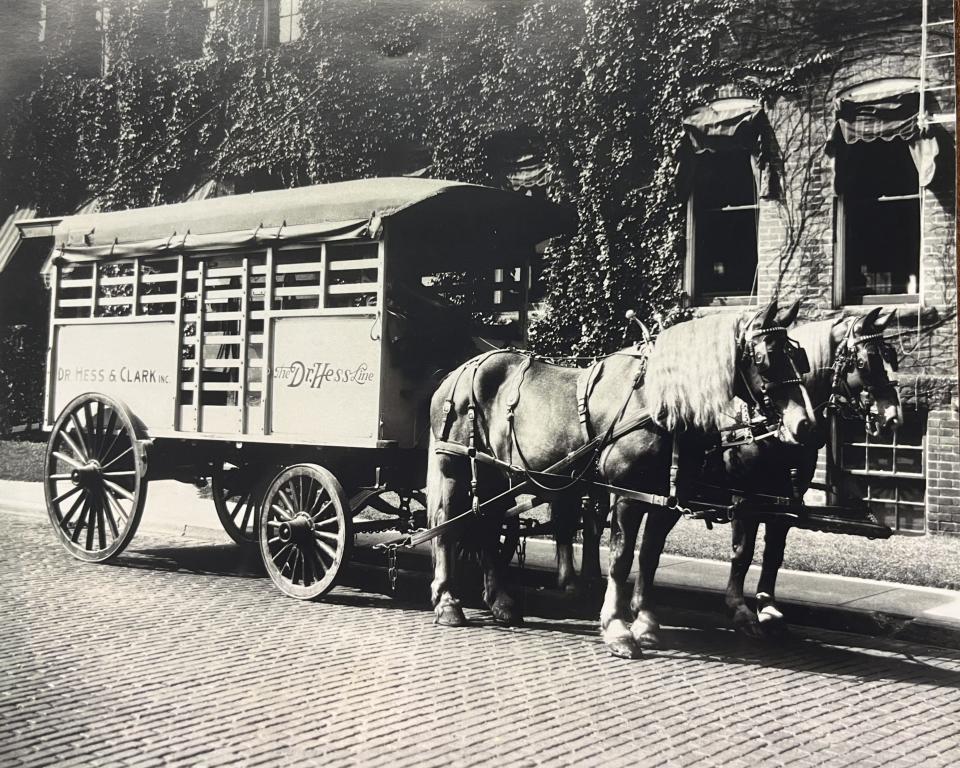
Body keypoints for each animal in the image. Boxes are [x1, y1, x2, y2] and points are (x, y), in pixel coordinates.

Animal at [430, 296, 816, 636]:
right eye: (766, 358)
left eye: (800, 357)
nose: (805, 425)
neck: (656, 401)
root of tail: (459, 370)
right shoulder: (629, 494)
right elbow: (621, 557)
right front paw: (617, 627)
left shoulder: (667, 502)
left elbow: (648, 557)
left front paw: (644, 621)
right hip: (455, 468)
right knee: (446, 526)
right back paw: (448, 601)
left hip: (494, 474)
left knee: (485, 524)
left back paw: (500, 601)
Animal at [628, 306, 904, 648]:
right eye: (865, 362)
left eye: (891, 357)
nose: (893, 417)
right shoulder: (745, 498)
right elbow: (742, 554)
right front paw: (740, 609)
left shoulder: (784, 500)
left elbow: (774, 553)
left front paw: (768, 607)